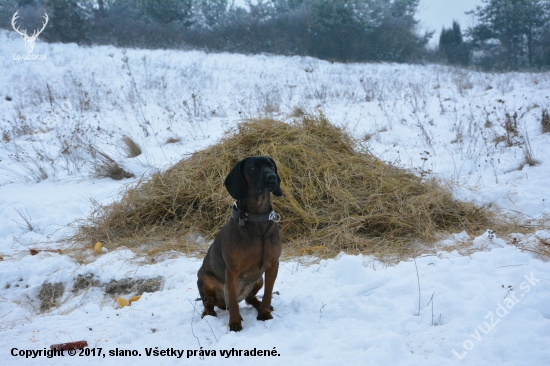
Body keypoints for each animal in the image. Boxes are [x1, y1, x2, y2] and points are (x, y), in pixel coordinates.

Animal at [197, 156, 284, 334]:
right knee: (209, 302)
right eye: (253, 168)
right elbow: (233, 303)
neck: (257, 219)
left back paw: (260, 306)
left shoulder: (273, 265)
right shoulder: (232, 271)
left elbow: (268, 292)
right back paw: (208, 314)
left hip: (258, 280)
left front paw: (265, 313)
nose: (272, 177)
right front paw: (235, 323)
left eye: (271, 166)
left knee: (250, 298)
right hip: (205, 280)